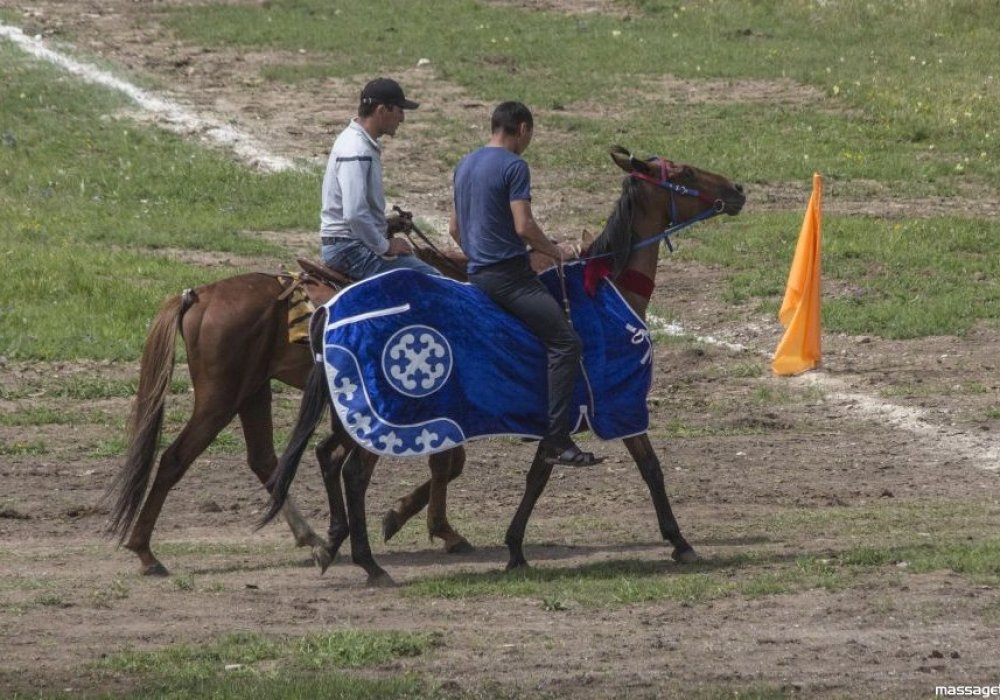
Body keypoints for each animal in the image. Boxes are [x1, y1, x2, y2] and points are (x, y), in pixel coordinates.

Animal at [106, 246, 476, 576]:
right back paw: (145, 552)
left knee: (263, 460)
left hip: (253, 392)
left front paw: (408, 519)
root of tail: (200, 295)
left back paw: (310, 537)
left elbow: (447, 462)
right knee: (175, 459)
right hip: (220, 399)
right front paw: (435, 528)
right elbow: (445, 462)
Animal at [262, 148, 748, 584]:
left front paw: (514, 548)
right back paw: (370, 563)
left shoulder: (557, 422)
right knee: (354, 473)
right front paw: (680, 542)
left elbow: (537, 475)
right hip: (384, 419)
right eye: (684, 172)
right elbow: (651, 469)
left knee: (329, 458)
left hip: (356, 417)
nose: (738, 190)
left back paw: (333, 543)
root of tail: (331, 308)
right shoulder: (618, 405)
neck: (605, 290)